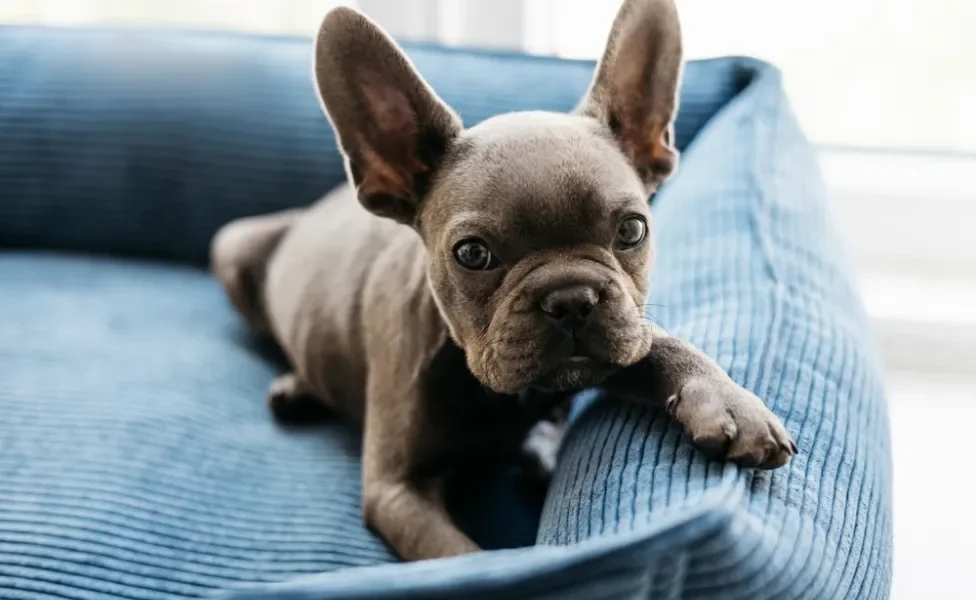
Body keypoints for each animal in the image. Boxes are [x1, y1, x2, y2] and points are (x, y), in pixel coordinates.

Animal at [212, 0, 792, 564]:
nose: (571, 298)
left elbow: (666, 346)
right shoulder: (398, 491)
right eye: (472, 254)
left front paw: (731, 402)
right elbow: (457, 557)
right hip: (233, 246)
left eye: (632, 230)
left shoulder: (621, 341)